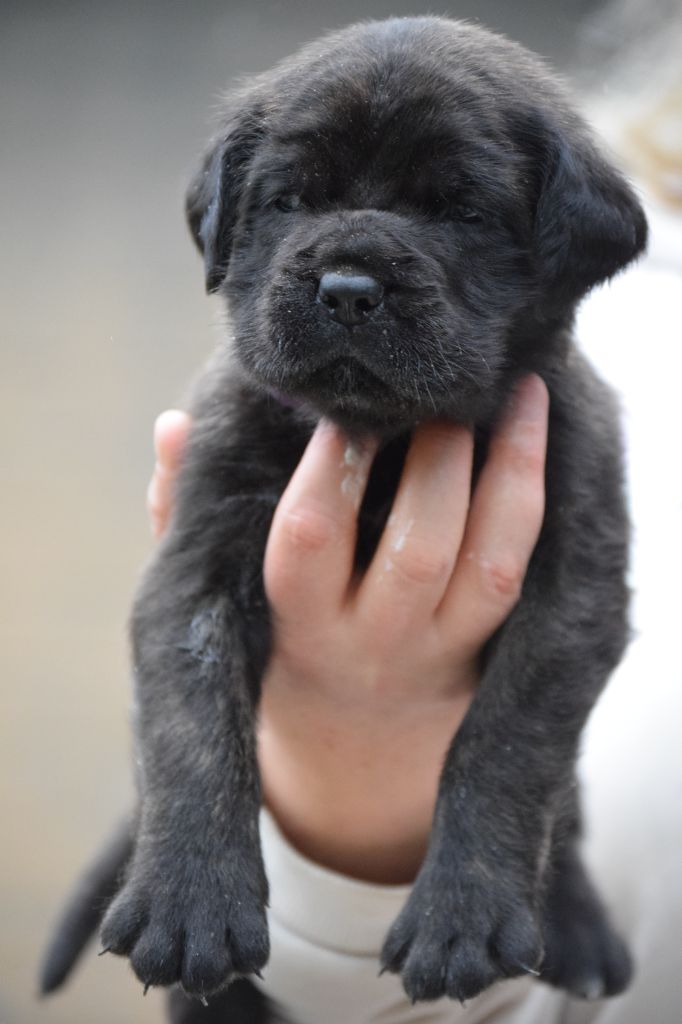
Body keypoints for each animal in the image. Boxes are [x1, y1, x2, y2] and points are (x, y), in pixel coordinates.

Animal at [41, 16, 646, 1022]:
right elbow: (194, 732)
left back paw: (578, 925)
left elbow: (507, 746)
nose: (349, 286)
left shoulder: (573, 593)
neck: (389, 440)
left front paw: (463, 919)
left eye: (461, 213)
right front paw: (189, 903)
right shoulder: (196, 566)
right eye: (289, 200)